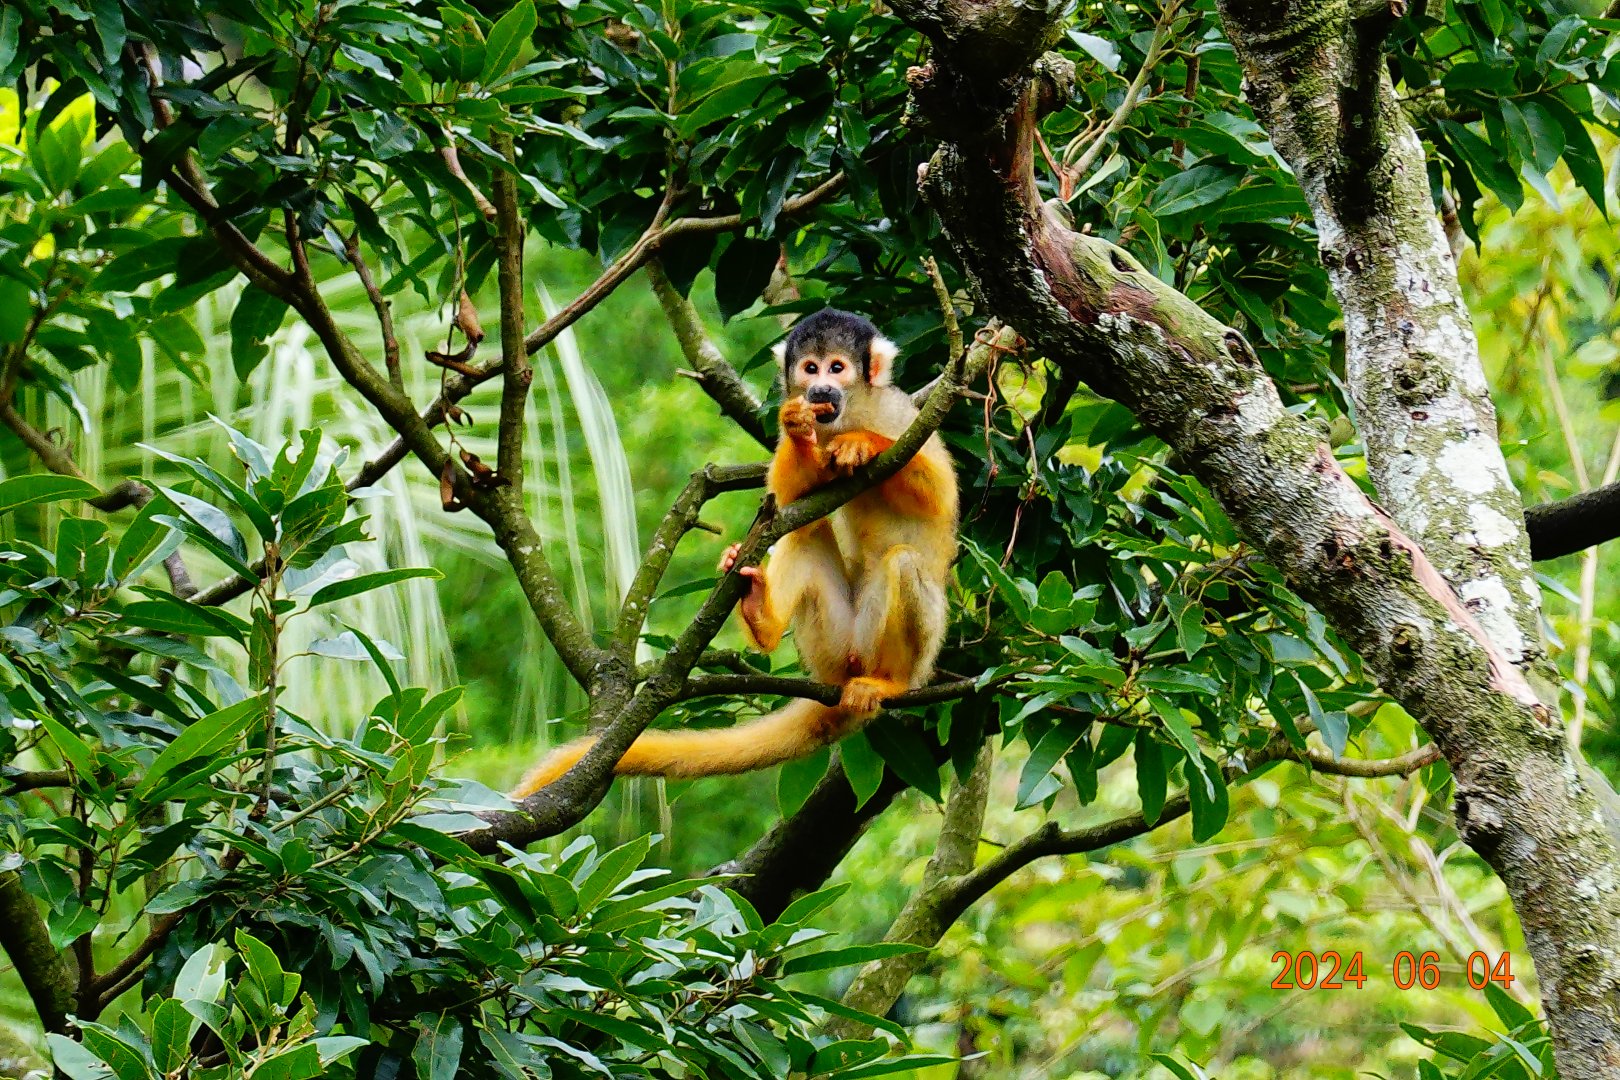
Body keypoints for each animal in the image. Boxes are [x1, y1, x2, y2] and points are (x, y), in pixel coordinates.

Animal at [509, 308, 959, 798]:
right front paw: (797, 430)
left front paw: (862, 443)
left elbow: (940, 494)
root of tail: (837, 681)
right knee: (801, 530)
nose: (820, 390)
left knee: (904, 562)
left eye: (837, 368)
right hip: (833, 646)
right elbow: (788, 498)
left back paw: (885, 681)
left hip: (911, 657)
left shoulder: (903, 414)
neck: (849, 413)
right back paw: (761, 613)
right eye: (811, 368)